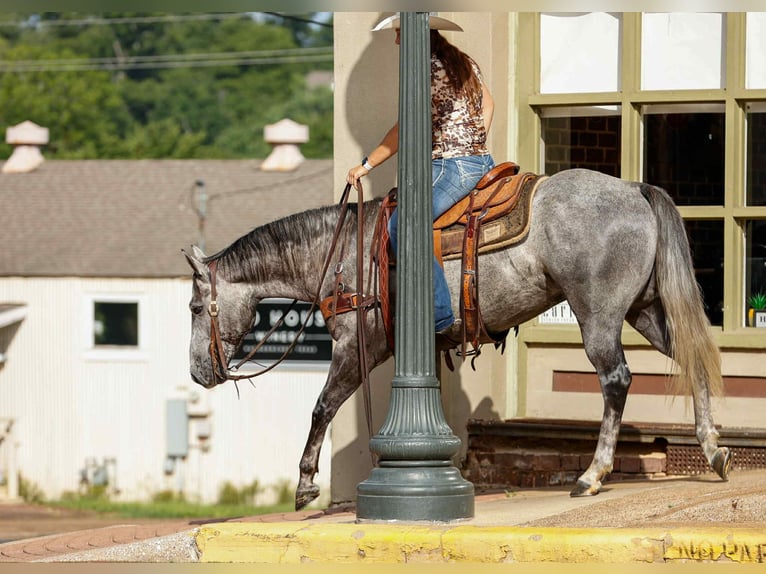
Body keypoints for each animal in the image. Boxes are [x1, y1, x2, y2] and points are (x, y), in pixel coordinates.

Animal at [183, 167, 732, 511]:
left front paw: (303, 484)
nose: (197, 372)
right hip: (646, 311)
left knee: (615, 380)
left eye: (192, 307)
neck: (341, 256)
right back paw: (713, 451)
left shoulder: (355, 347)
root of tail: (634, 189)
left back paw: (591, 475)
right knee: (693, 359)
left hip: (598, 316)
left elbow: (322, 407)